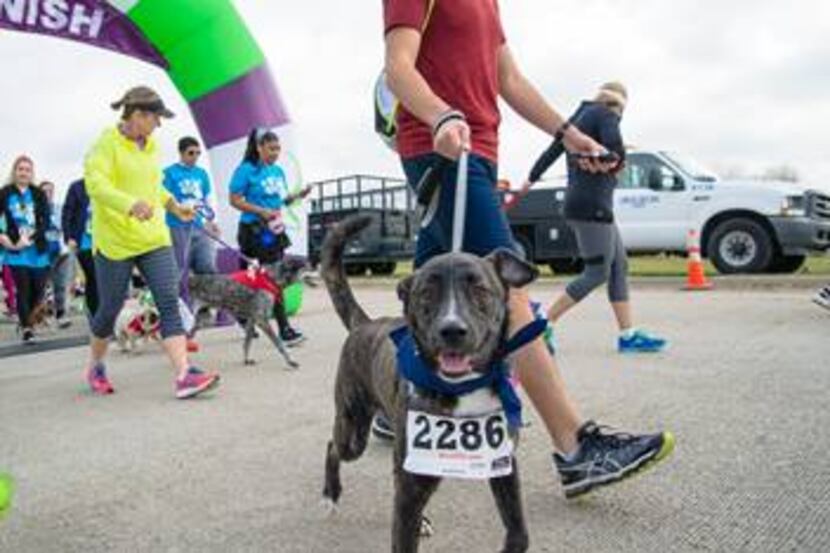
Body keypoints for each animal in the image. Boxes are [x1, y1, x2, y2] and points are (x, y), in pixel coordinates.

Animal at [322, 215, 536, 552]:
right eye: (426, 293)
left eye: (479, 289)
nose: (452, 330)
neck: (463, 386)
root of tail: (364, 324)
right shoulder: (411, 488)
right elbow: (403, 531)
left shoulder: (502, 462)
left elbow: (520, 533)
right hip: (353, 431)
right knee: (333, 447)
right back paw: (331, 493)